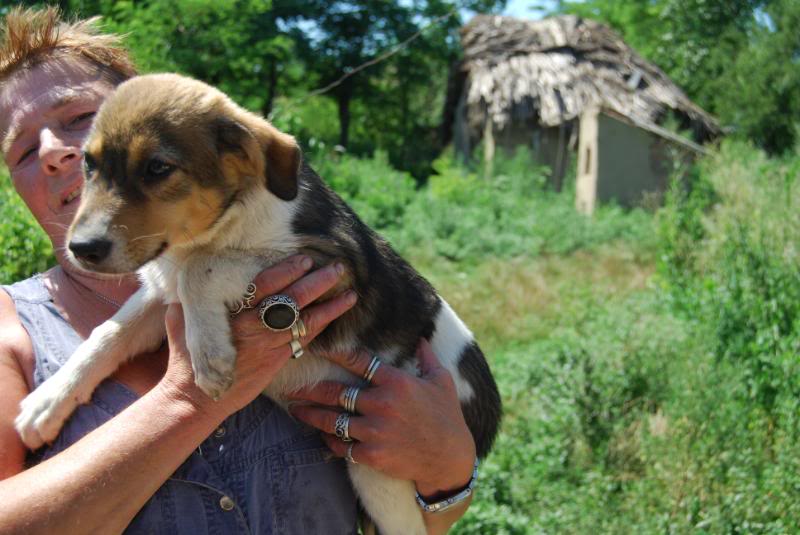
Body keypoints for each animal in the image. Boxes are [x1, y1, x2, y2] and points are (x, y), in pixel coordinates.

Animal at [14, 72, 500, 535]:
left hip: (382, 474)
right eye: (89, 164)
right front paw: (46, 403)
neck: (219, 224)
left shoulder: (335, 265)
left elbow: (201, 270)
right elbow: (108, 334)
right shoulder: (158, 293)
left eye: (157, 167)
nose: (81, 249)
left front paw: (210, 357)